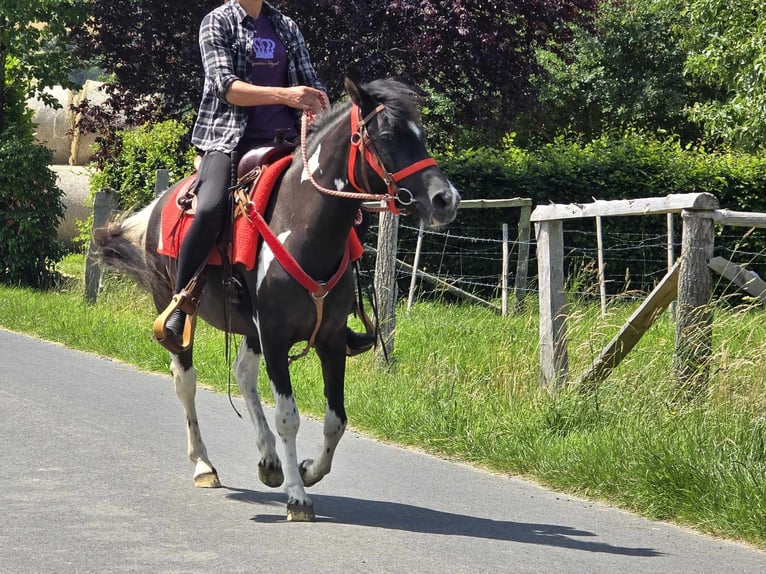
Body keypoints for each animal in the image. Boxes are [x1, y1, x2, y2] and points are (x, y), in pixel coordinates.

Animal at [93, 76, 461, 521]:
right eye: (387, 136)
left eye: (421, 135)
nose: (447, 199)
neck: (304, 227)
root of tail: (160, 204)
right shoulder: (274, 335)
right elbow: (288, 416)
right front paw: (297, 498)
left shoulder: (329, 340)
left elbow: (336, 420)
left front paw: (305, 470)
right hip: (177, 309)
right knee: (185, 381)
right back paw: (204, 464)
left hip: (250, 330)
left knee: (242, 374)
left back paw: (269, 461)